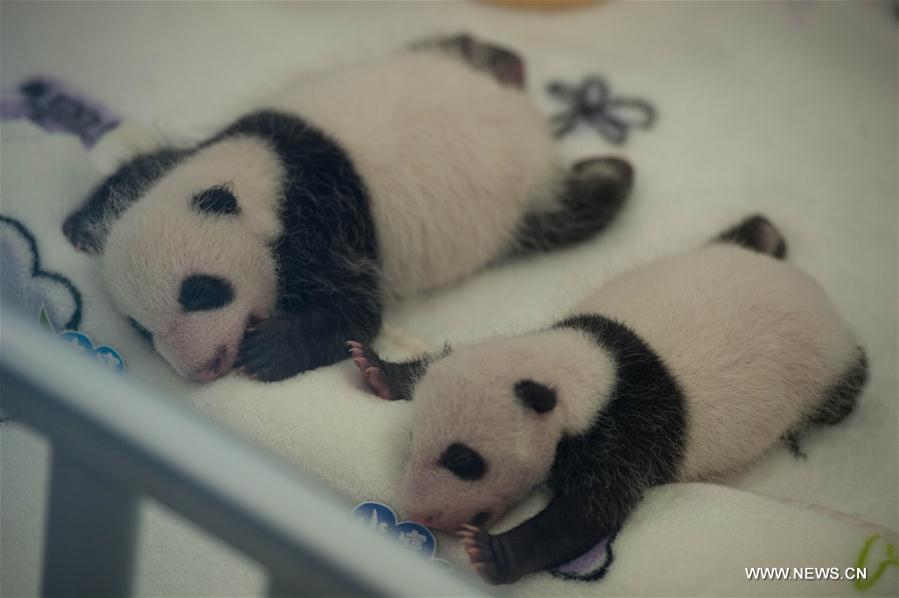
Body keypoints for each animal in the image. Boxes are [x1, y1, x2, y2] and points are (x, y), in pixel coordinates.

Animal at [62, 35, 634, 382]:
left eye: (201, 291)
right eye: (139, 328)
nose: (203, 367)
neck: (261, 168)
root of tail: (525, 116)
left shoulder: (325, 218)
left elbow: (355, 310)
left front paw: (264, 351)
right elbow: (144, 168)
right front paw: (80, 223)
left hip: (524, 201)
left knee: (572, 213)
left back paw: (610, 173)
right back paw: (506, 62)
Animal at [348, 215, 867, 584]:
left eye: (463, 460)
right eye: (413, 439)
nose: (418, 512)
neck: (589, 366)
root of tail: (809, 286)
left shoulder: (631, 428)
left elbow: (592, 510)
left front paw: (492, 552)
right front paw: (379, 368)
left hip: (827, 369)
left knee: (847, 386)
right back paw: (761, 230)